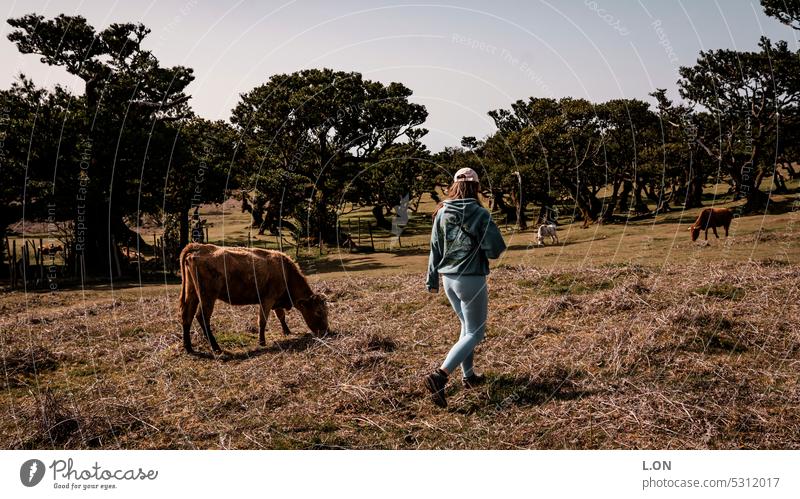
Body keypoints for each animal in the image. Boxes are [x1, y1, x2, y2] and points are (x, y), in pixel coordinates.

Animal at [180, 244, 330, 354]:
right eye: (319, 312)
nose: (326, 331)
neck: (286, 272)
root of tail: (198, 247)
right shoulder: (267, 300)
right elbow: (262, 320)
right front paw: (262, 342)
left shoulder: (276, 301)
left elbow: (281, 316)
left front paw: (287, 331)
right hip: (208, 297)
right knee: (202, 317)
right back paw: (216, 347)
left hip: (192, 293)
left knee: (187, 315)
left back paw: (189, 348)